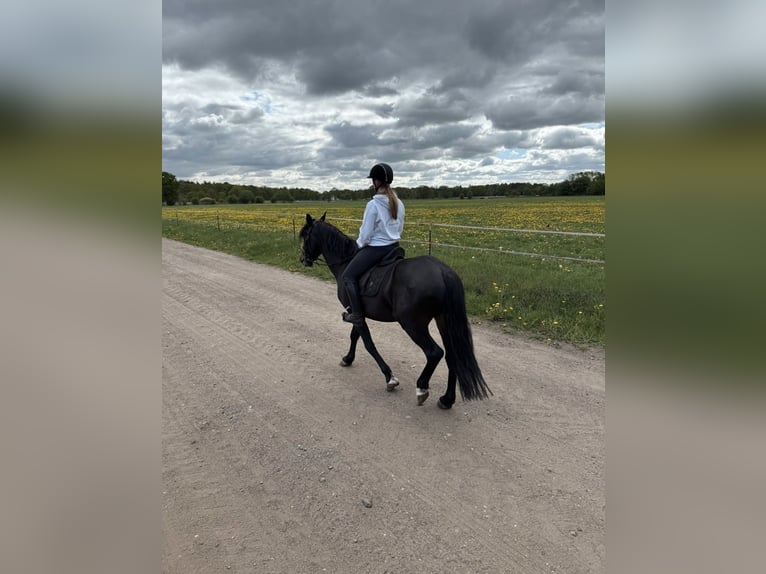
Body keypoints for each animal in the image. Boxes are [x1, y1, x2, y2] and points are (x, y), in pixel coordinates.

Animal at [299, 213, 492, 409]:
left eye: (306, 236)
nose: (303, 259)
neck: (345, 262)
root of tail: (443, 272)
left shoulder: (356, 312)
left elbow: (368, 343)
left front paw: (389, 377)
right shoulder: (357, 312)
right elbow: (355, 336)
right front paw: (348, 358)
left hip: (412, 324)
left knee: (435, 353)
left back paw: (422, 388)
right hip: (443, 321)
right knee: (452, 356)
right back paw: (447, 399)